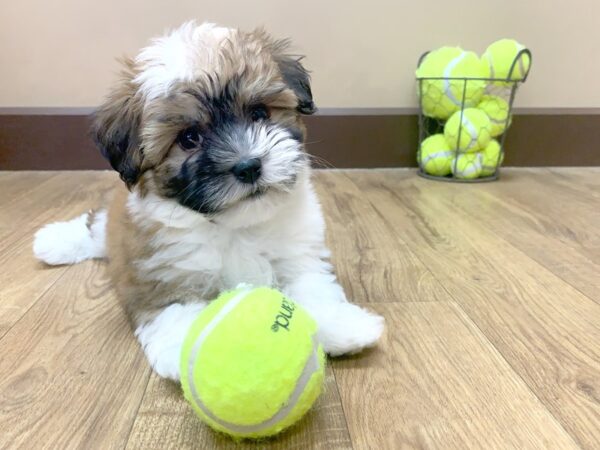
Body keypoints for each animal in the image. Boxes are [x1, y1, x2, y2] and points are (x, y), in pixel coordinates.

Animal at [35, 20, 384, 380]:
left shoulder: (299, 254)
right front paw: (186, 353)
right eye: (189, 138)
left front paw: (341, 324)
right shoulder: (160, 273)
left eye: (259, 113)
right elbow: (173, 311)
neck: (236, 226)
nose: (248, 166)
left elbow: (314, 287)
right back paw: (56, 241)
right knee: (96, 226)